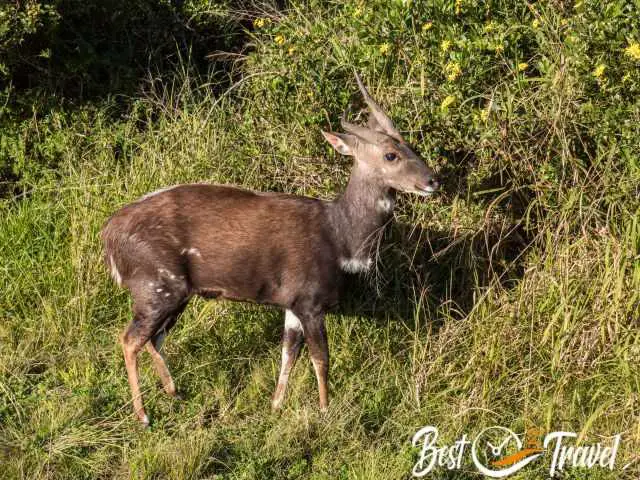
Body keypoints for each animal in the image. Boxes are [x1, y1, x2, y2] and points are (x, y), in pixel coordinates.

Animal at [101, 73, 440, 426]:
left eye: (410, 147)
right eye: (391, 155)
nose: (433, 181)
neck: (339, 235)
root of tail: (108, 235)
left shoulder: (291, 304)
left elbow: (288, 353)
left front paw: (276, 406)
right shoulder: (311, 301)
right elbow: (321, 358)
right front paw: (324, 411)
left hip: (177, 294)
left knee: (155, 338)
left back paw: (175, 393)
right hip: (157, 286)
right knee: (130, 339)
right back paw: (143, 416)